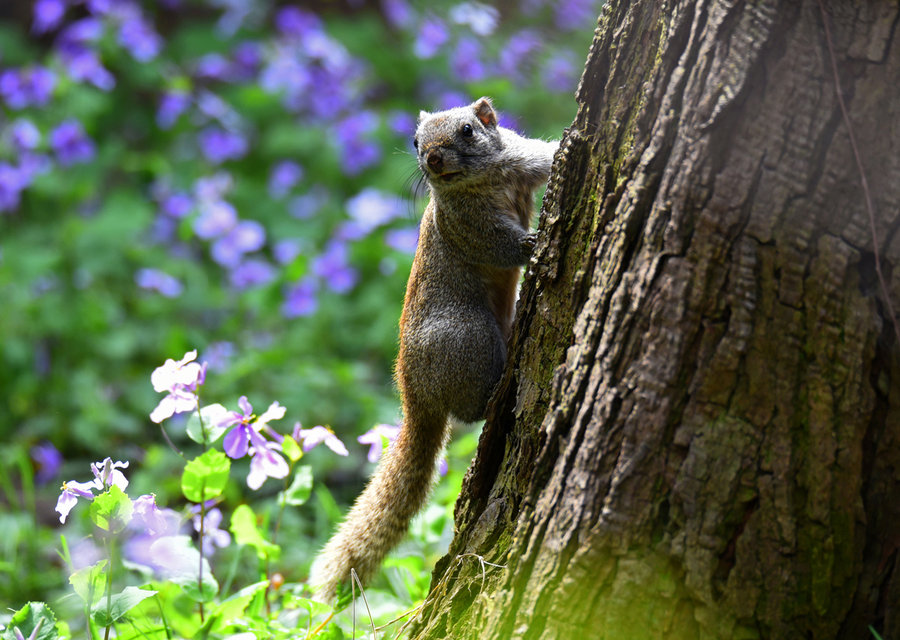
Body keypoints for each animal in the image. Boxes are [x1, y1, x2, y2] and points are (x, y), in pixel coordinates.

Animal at [312, 97, 560, 604]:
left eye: (468, 130)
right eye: (414, 141)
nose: (432, 158)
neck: (480, 180)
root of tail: (414, 393)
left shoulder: (524, 161)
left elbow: (548, 157)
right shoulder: (466, 226)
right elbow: (499, 246)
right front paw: (531, 245)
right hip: (469, 336)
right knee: (468, 412)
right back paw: (496, 395)